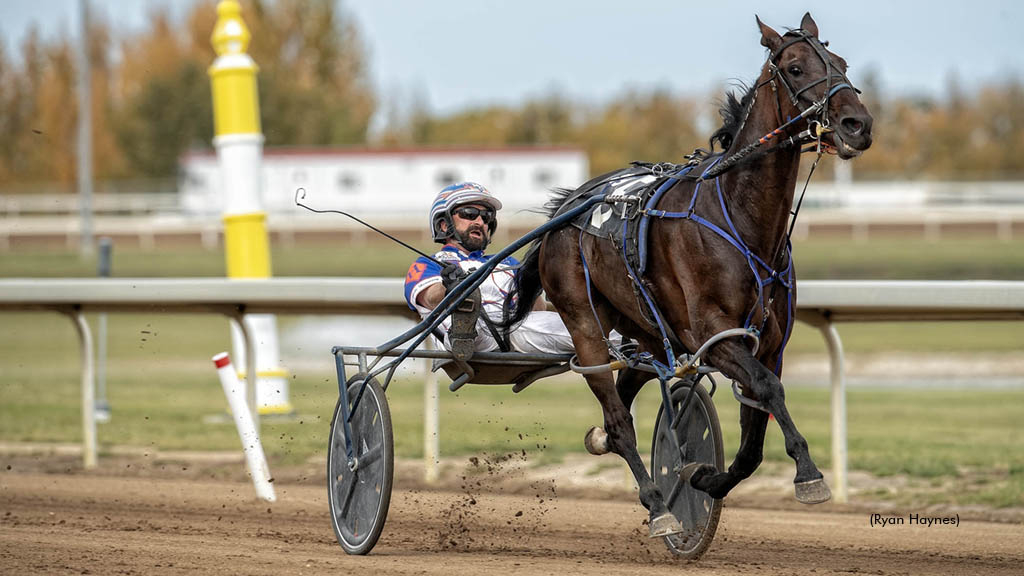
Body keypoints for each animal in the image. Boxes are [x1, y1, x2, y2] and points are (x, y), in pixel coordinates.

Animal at [499, 11, 868, 537]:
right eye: (795, 68)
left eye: (841, 63)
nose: (858, 124)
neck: (739, 217)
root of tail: (567, 209)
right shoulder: (714, 335)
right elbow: (768, 390)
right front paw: (809, 474)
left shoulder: (768, 342)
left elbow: (754, 435)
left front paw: (706, 478)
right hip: (586, 324)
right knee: (618, 418)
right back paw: (658, 505)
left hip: (648, 328)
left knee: (626, 394)